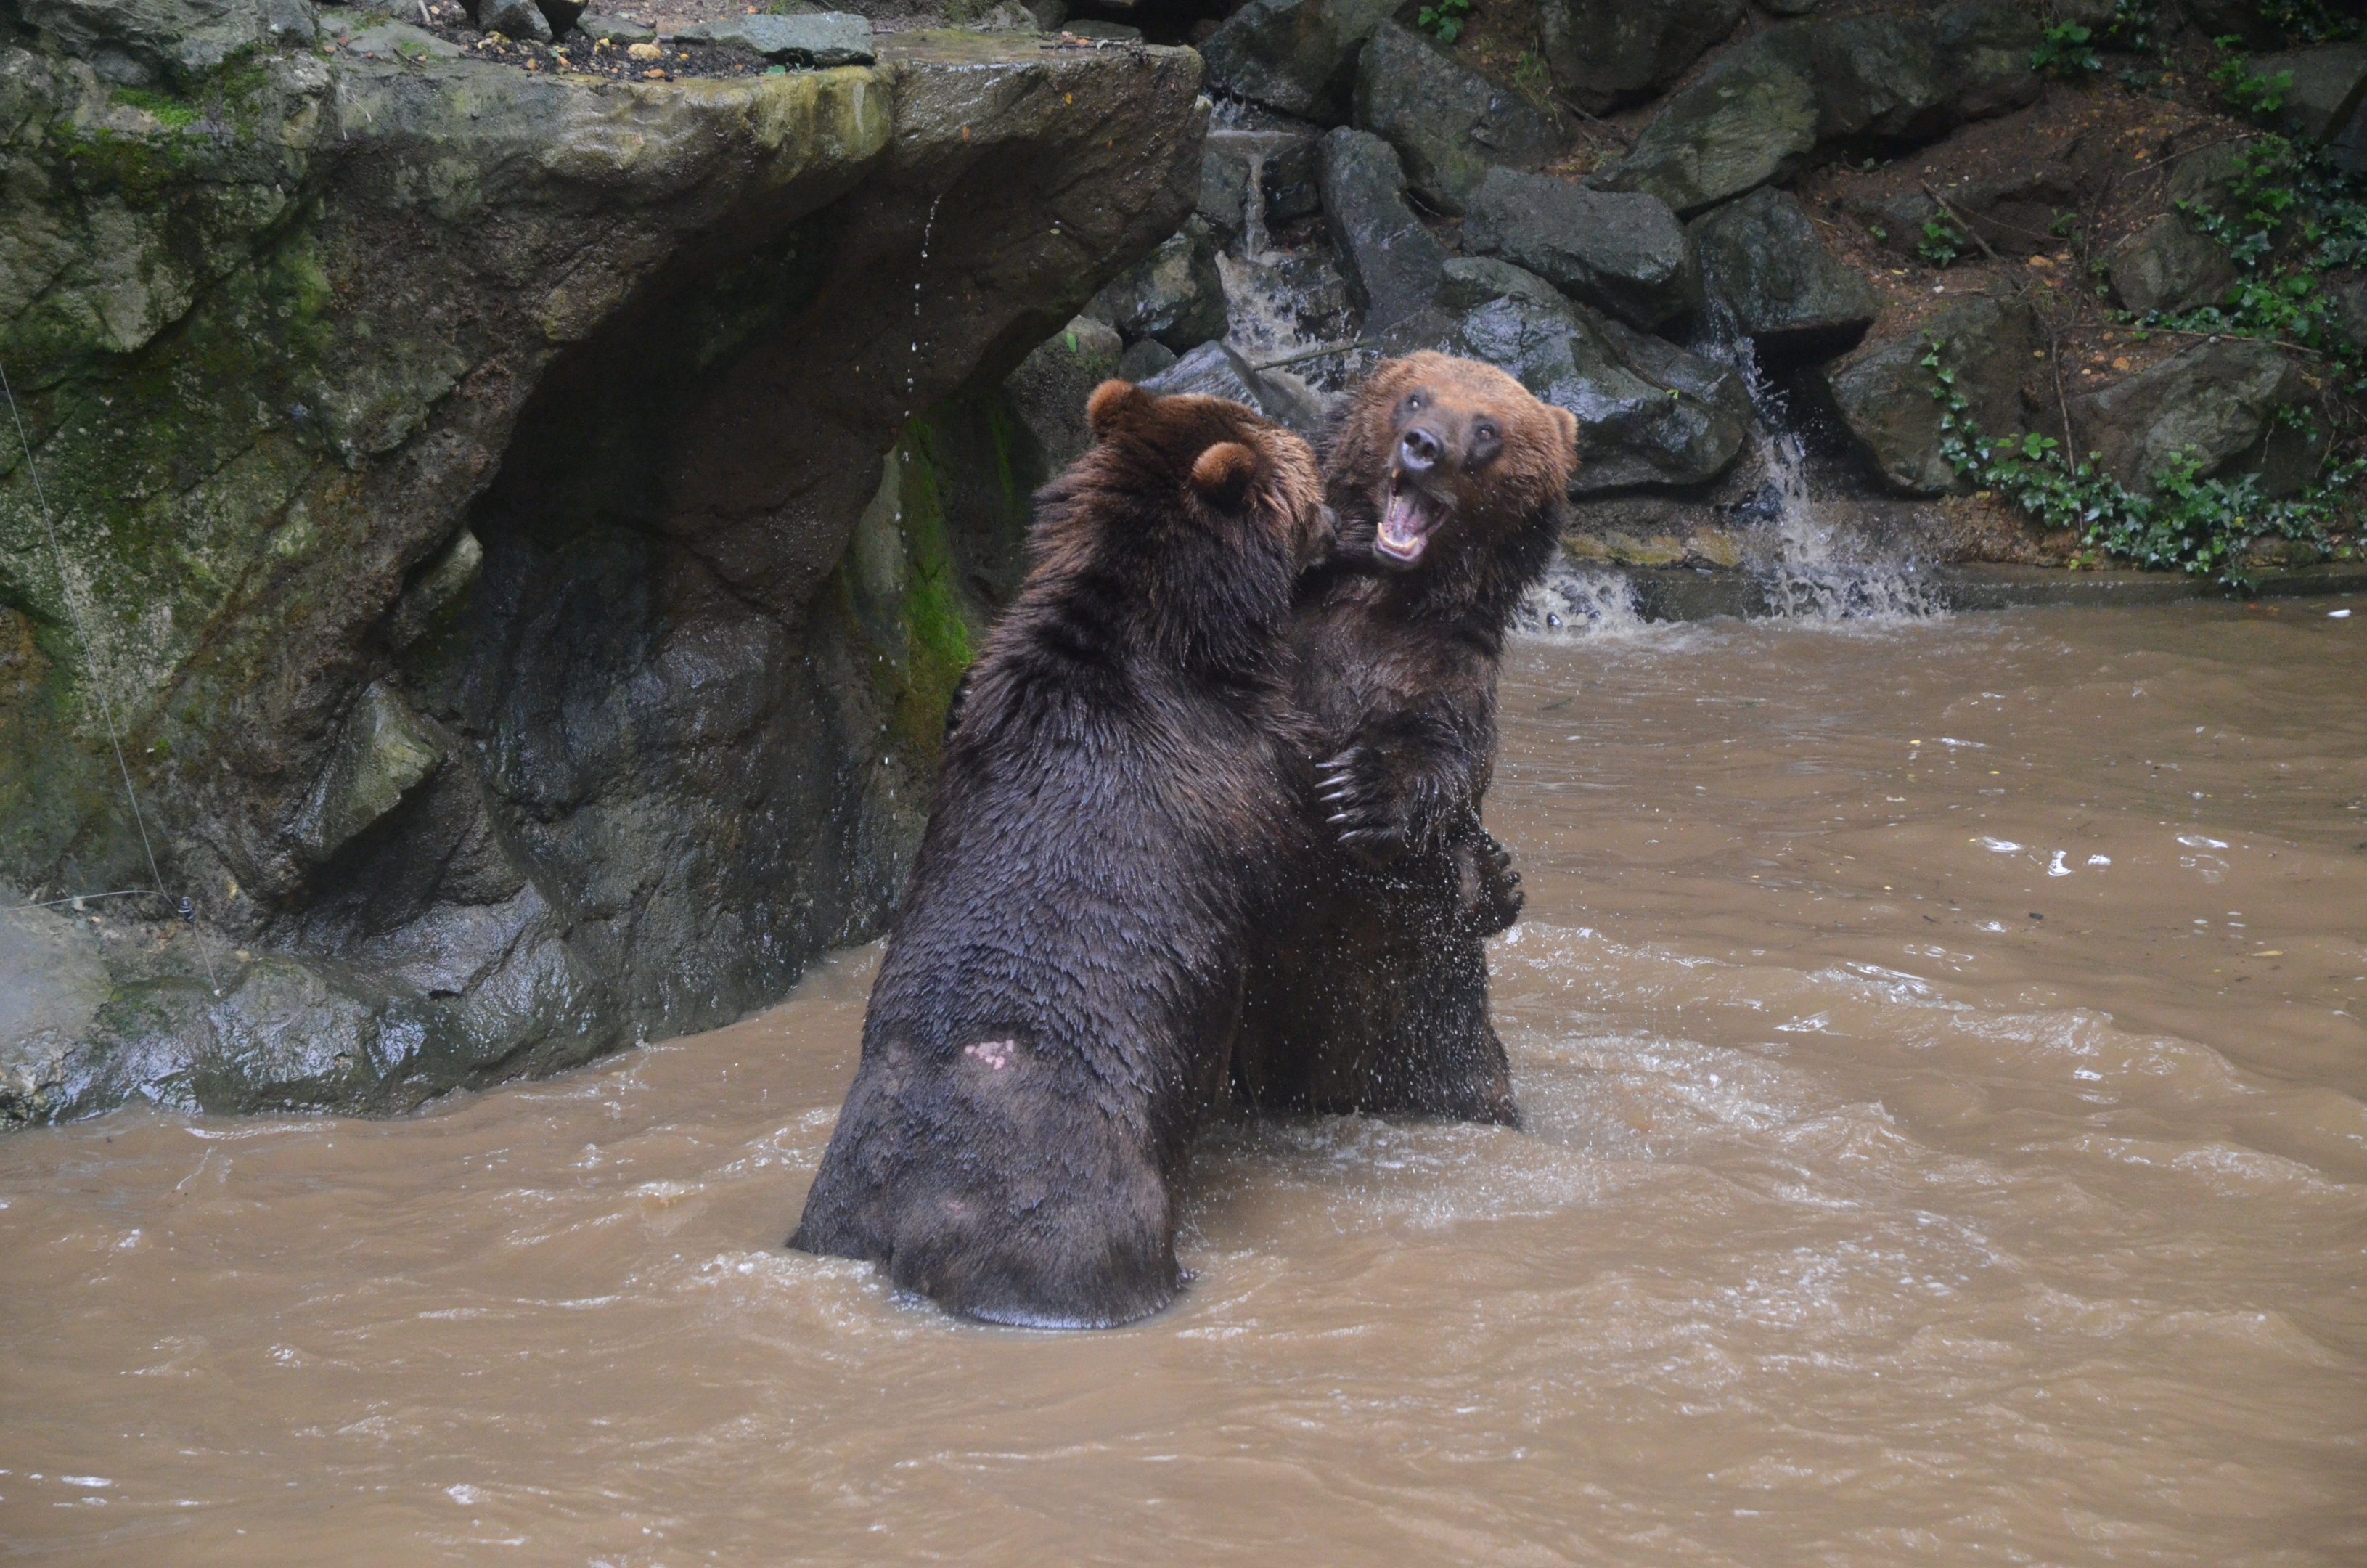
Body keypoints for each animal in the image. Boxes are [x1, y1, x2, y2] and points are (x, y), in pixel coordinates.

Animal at [790, 381, 1331, 1329]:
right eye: (1303, 464)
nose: (1341, 515)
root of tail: (907, 1227)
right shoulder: (1235, 766)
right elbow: (1290, 887)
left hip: (838, 1203)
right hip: (1076, 1222)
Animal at [1231, 352, 1578, 1126]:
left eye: (1487, 429)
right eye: (1413, 398)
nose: (1424, 446)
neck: (1382, 590)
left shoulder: (1443, 668)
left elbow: (1445, 759)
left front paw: (1360, 792)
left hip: (1434, 1038)